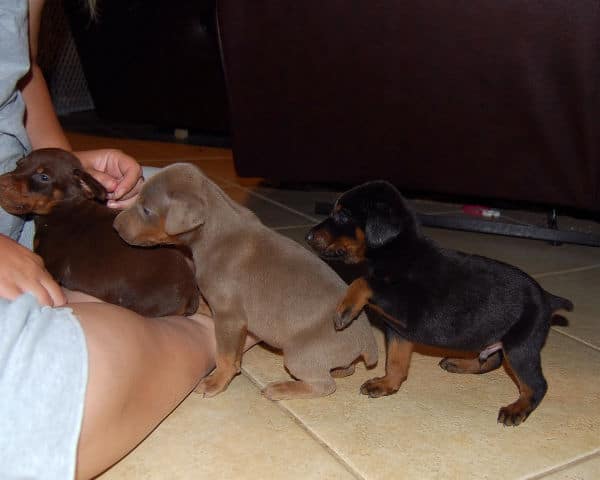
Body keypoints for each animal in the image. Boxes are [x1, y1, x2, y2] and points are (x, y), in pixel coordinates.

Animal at [0, 148, 202, 316]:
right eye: (19, 164)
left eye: (43, 177)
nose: (1, 183)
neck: (61, 209)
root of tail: (191, 291)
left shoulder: (51, 265)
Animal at [113, 163, 376, 400]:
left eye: (146, 210)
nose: (115, 225)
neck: (213, 231)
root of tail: (367, 341)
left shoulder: (230, 317)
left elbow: (226, 356)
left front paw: (216, 382)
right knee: (344, 369)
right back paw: (338, 369)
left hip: (299, 354)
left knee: (324, 385)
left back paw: (282, 389)